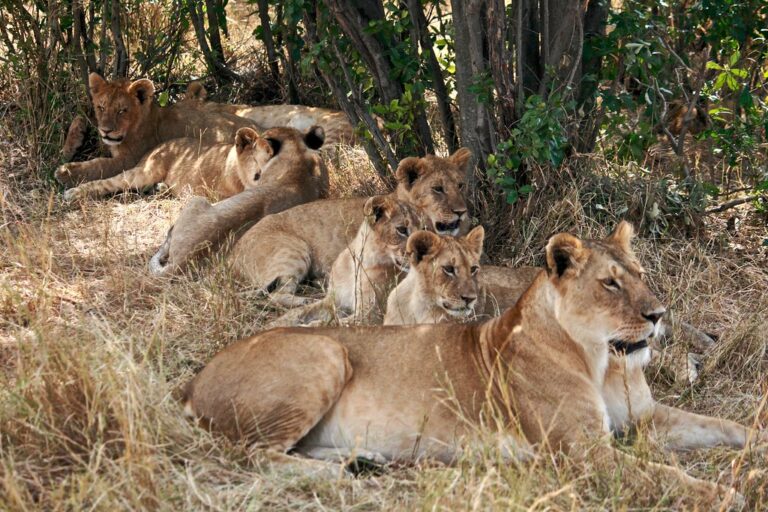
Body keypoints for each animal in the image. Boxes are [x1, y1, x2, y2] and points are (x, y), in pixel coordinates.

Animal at [56, 73, 260, 187]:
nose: (106, 130)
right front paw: (68, 148)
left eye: (122, 110)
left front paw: (66, 172)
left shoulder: (130, 159)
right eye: (101, 107)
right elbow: (80, 117)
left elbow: (99, 165)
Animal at [62, 125, 307, 202]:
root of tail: (157, 146)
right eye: (259, 172)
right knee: (109, 183)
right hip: (145, 171)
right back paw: (72, 193)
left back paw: (160, 188)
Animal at [228, 149, 471, 305]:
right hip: (292, 251)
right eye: (437, 189)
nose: (462, 211)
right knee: (275, 295)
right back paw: (306, 299)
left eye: (460, 185)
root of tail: (233, 253)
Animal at [267, 195, 423, 326]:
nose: (419, 253)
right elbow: (300, 311)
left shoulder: (371, 314)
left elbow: (328, 325)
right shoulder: (334, 300)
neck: (361, 263)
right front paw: (276, 324)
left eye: (422, 230)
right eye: (402, 229)